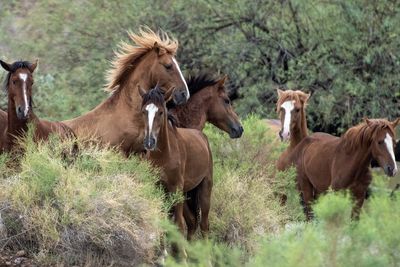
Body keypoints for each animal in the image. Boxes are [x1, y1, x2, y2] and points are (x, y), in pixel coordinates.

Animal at [139, 86, 212, 249]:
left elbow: (178, 225)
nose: (149, 142)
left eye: (161, 112)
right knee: (192, 222)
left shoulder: (175, 188)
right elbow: (164, 223)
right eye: (143, 111)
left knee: (204, 225)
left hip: (204, 189)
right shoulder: (159, 188)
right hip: (184, 195)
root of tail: (202, 137)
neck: (164, 155)